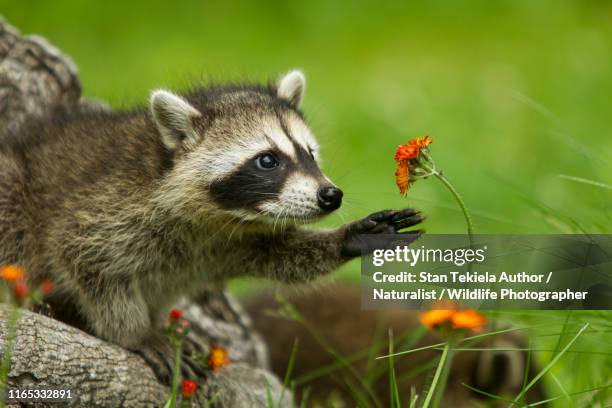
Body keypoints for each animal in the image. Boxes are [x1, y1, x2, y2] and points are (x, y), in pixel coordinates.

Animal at [0, 69, 424, 382]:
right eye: (267, 160)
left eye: (310, 154)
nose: (330, 196)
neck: (218, 217)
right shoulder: (106, 208)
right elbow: (85, 259)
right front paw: (135, 331)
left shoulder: (231, 240)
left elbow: (280, 256)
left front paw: (348, 238)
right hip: (14, 188)